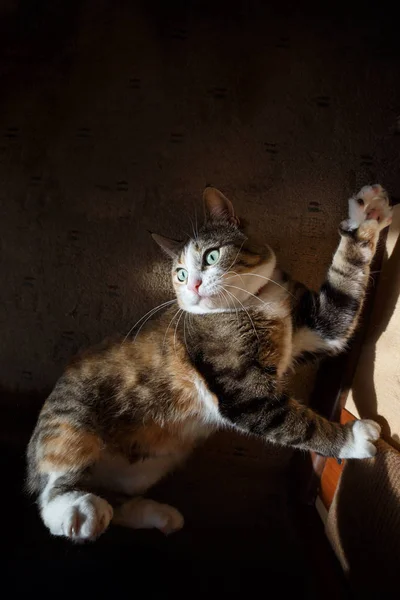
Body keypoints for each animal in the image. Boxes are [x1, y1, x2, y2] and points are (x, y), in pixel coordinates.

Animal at [26, 182, 392, 540]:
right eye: (180, 273)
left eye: (211, 255)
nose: (194, 285)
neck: (254, 303)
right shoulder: (239, 387)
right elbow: (296, 422)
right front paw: (355, 438)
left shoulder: (317, 329)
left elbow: (343, 291)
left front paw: (368, 214)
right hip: (72, 421)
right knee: (51, 491)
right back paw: (78, 512)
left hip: (146, 467)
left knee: (114, 502)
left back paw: (158, 515)